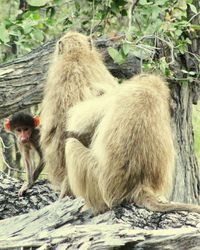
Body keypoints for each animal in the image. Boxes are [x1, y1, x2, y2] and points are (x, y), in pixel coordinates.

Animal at [65, 73, 200, 213]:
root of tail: (140, 186)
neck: (149, 90)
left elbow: (78, 121)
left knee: (71, 144)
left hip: (98, 186)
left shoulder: (119, 93)